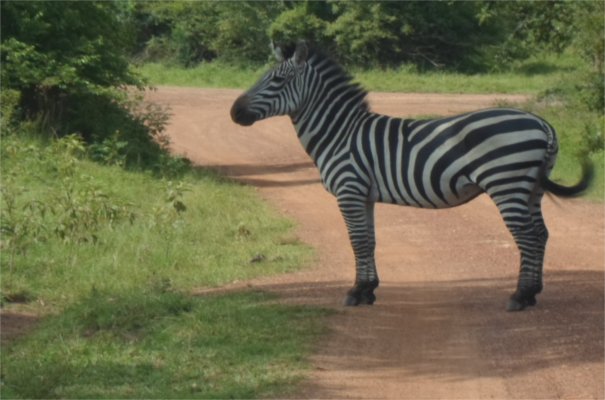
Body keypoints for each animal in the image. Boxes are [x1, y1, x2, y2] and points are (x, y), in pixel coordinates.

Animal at [230, 42, 588, 310]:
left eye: (277, 81)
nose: (234, 112)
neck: (340, 133)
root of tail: (541, 122)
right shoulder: (364, 195)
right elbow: (369, 240)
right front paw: (368, 290)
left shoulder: (349, 190)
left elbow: (357, 240)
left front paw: (355, 292)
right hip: (532, 189)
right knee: (540, 234)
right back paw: (533, 293)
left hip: (507, 184)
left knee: (527, 236)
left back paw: (520, 296)